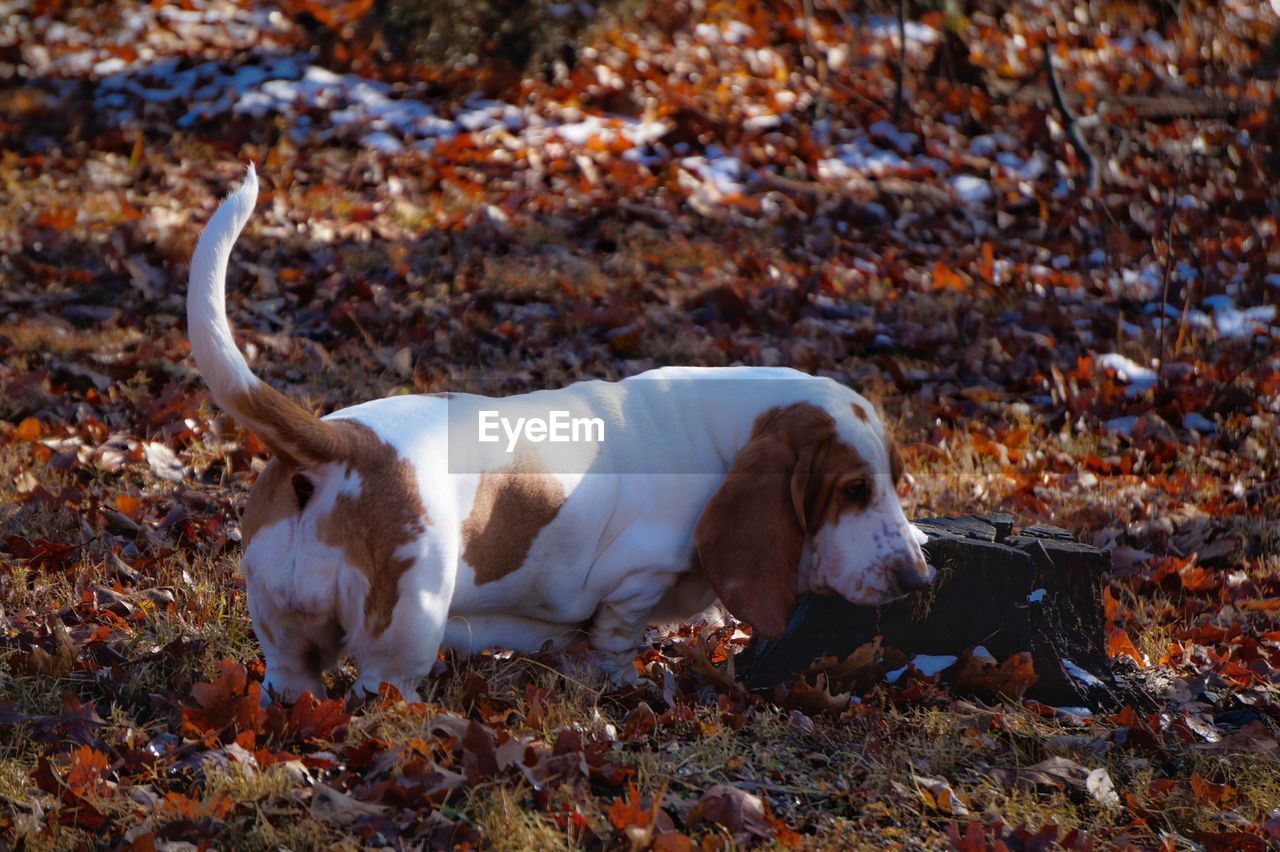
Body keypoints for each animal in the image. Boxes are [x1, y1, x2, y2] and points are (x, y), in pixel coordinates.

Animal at [189, 162, 931, 701]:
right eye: (854, 490)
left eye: (895, 480)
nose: (918, 578)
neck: (721, 437)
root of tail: (340, 447)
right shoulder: (634, 580)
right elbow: (615, 640)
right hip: (405, 631)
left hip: (285, 642)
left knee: (292, 687)